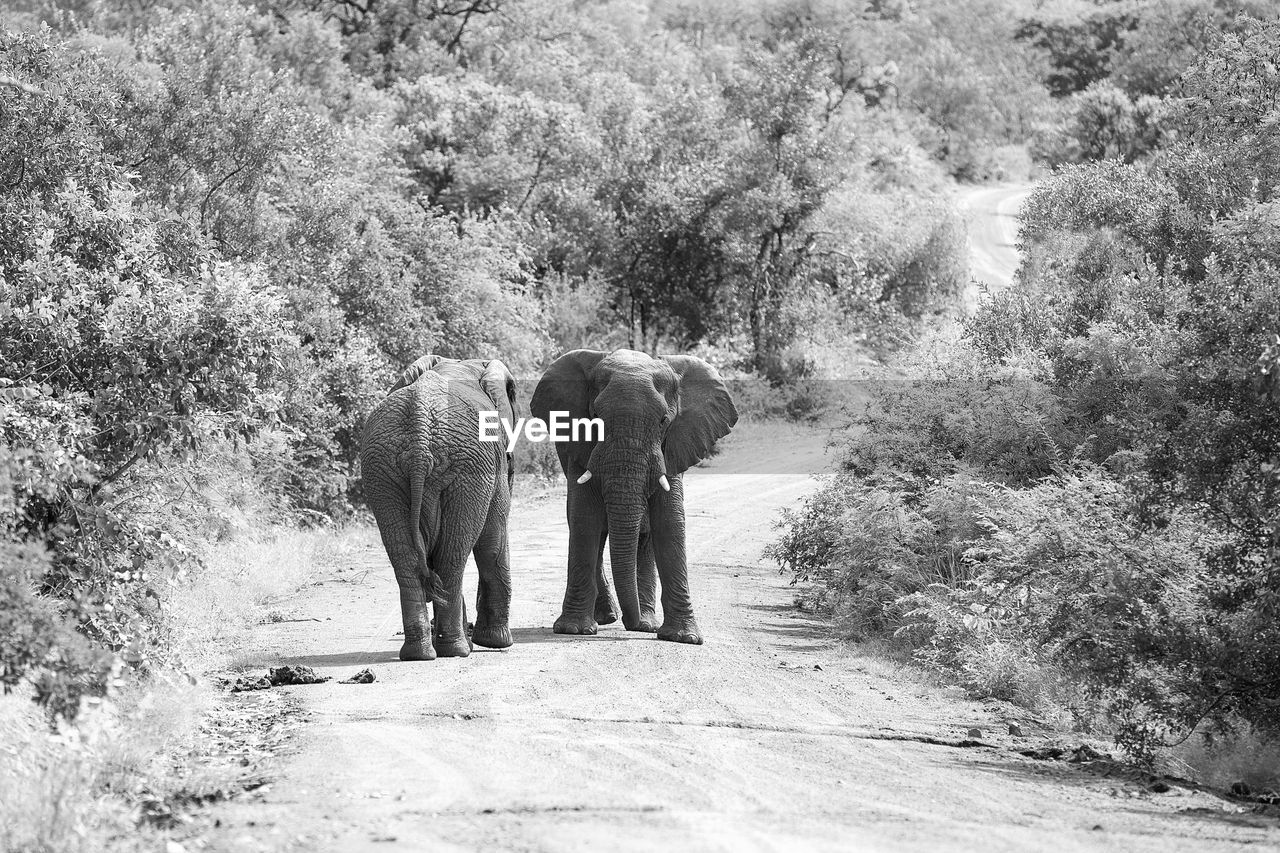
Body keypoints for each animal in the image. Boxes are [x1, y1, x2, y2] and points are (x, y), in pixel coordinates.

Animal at [358, 350, 517, 655]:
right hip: (468, 470)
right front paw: (495, 642)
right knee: (452, 558)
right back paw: (456, 650)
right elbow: (494, 539)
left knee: (408, 560)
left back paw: (419, 654)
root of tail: (420, 437)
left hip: (381, 469)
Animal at [527, 343, 737, 637]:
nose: (631, 623)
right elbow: (585, 519)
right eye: (595, 419)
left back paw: (645, 622)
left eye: (663, 421)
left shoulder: (674, 445)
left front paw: (683, 637)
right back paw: (608, 618)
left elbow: (670, 522)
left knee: (645, 534)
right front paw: (573, 630)